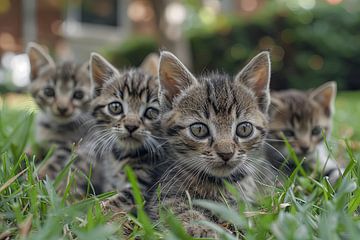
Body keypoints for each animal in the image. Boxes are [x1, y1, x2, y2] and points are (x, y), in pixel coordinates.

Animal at [27, 42, 94, 179]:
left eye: (78, 95)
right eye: (48, 92)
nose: (62, 108)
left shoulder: (68, 147)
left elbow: (52, 164)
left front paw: (38, 177)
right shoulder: (41, 142)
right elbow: (31, 150)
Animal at [148, 49, 272, 237]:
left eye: (244, 129)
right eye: (199, 129)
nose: (226, 153)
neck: (217, 182)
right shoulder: (165, 195)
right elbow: (177, 209)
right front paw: (201, 227)